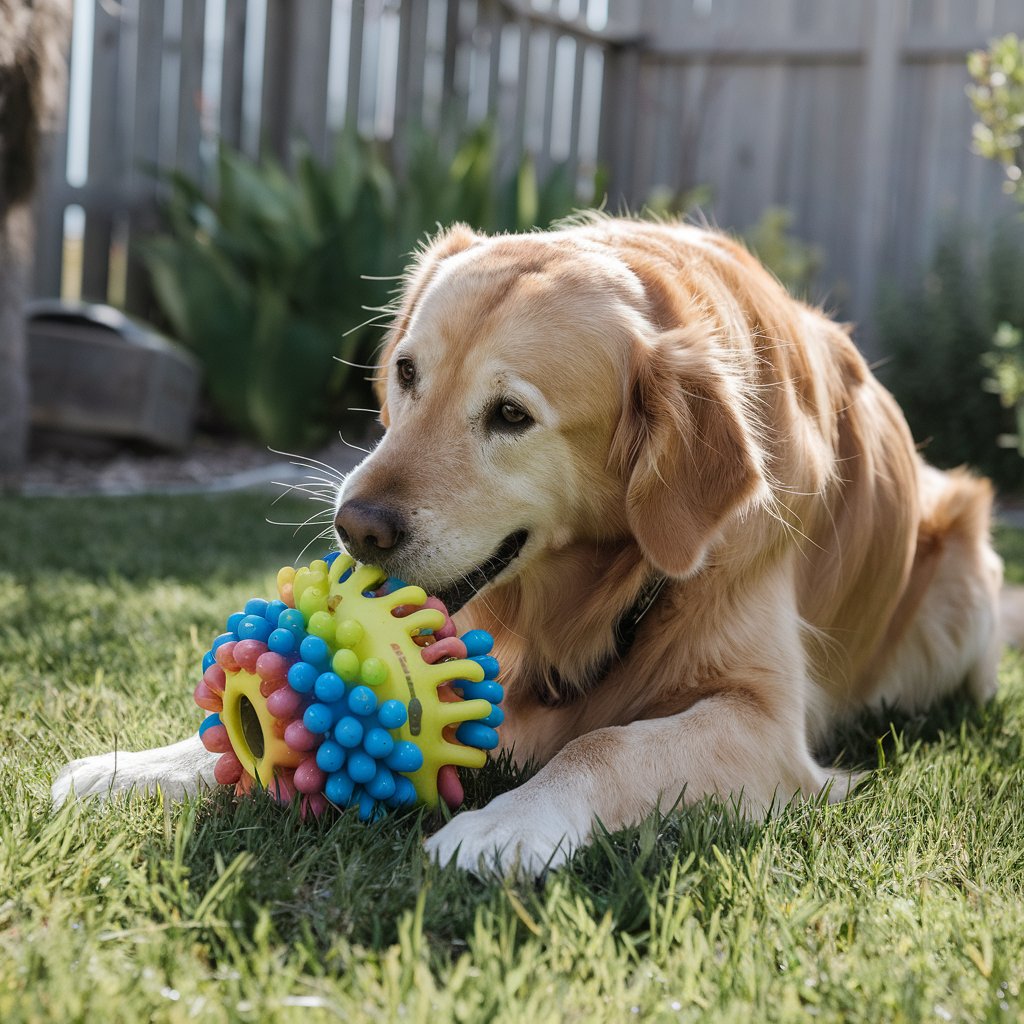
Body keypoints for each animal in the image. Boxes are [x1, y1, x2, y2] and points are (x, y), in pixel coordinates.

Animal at [51, 216, 1003, 872]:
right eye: (406, 372)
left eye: (510, 415)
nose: (356, 525)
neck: (604, 588)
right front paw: (136, 766)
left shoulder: (765, 723)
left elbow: (607, 744)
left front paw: (507, 823)